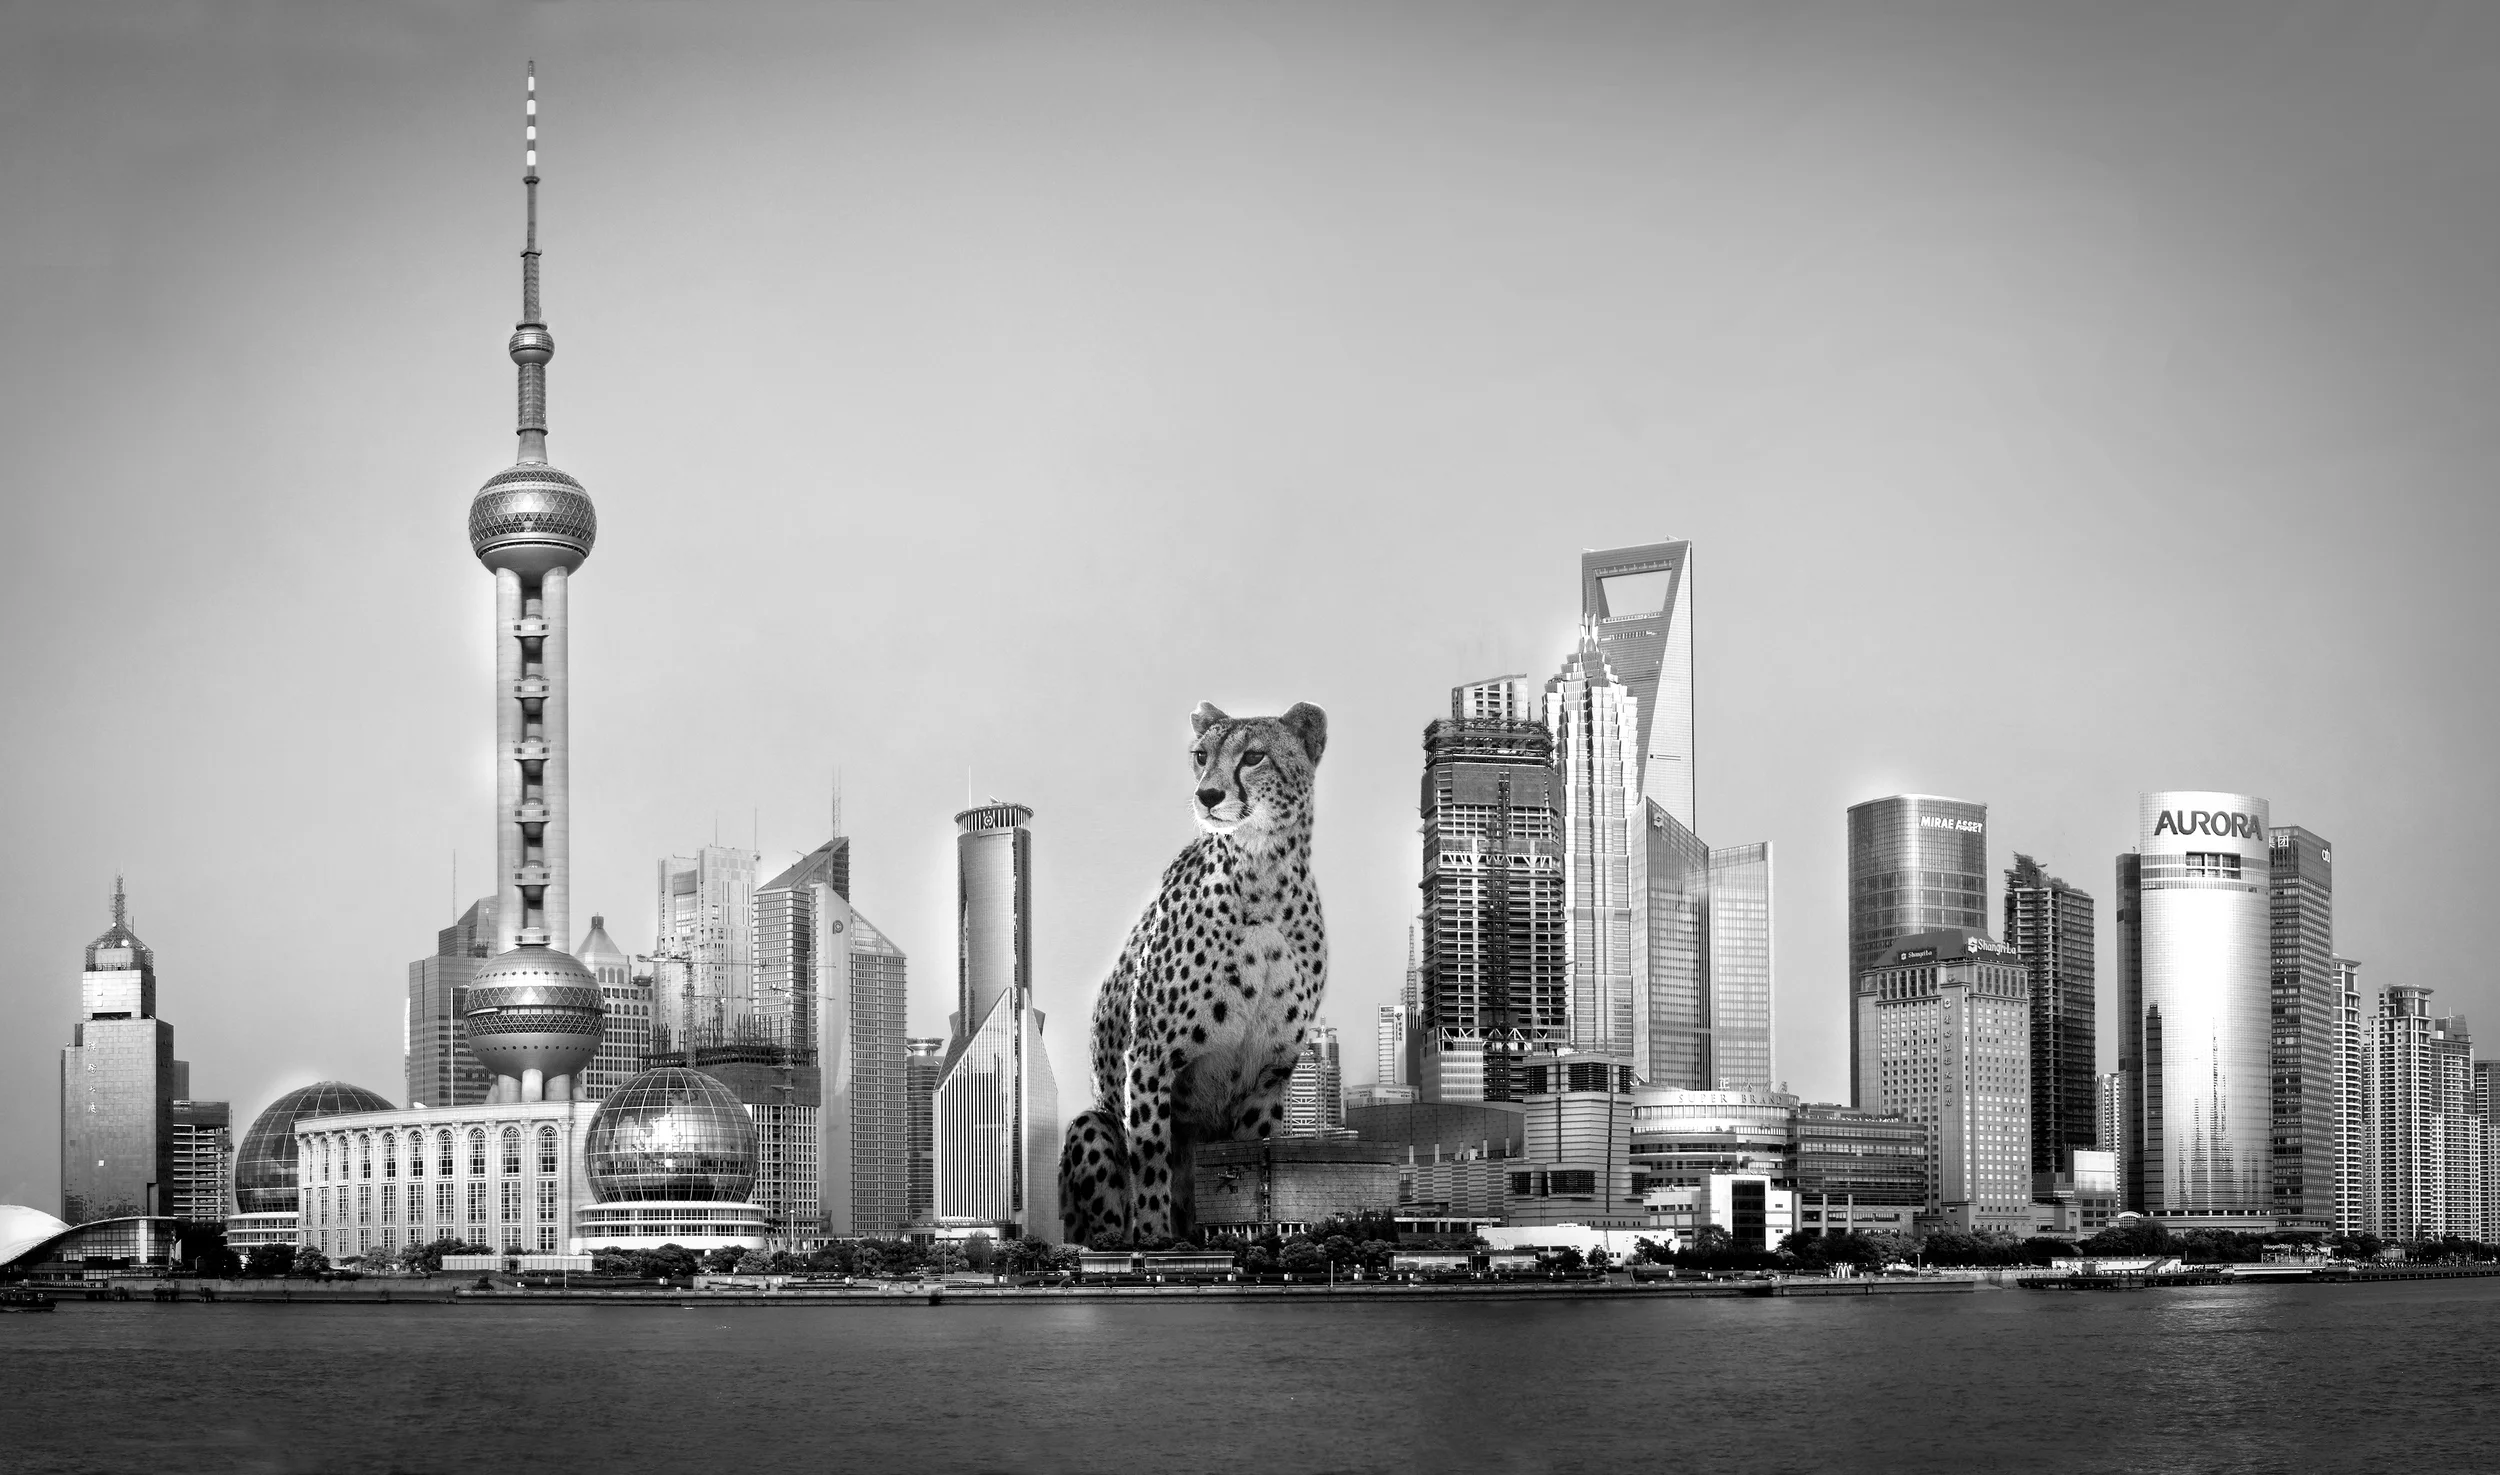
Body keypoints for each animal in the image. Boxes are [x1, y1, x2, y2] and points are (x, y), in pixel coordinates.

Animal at [1058, 700, 1328, 1247]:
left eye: (1254, 756)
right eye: (1201, 755)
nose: (1208, 795)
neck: (1264, 876)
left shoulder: (1269, 1074)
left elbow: (1253, 1164)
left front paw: (1248, 1239)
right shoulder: (1150, 1056)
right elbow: (1151, 1158)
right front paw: (1157, 1240)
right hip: (1089, 1125)